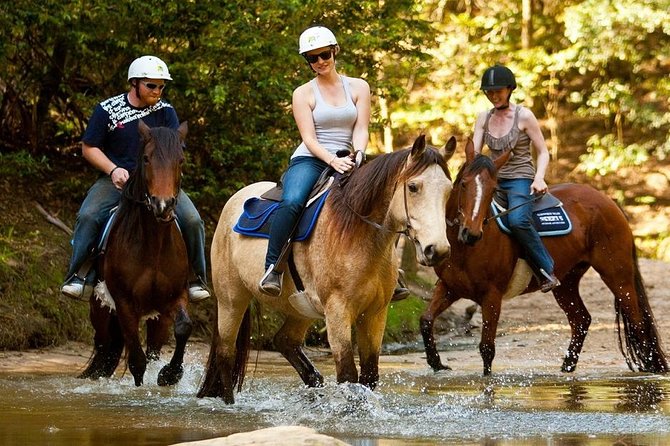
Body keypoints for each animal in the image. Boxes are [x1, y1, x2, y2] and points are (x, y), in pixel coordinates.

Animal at [80, 120, 194, 386]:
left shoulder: (174, 297)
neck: (153, 246)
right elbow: (137, 362)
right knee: (105, 347)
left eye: (181, 160)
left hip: (157, 318)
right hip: (101, 311)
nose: (163, 204)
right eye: (146, 158)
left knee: (150, 349)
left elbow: (184, 327)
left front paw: (170, 375)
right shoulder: (124, 305)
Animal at [197, 134, 454, 402]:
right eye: (413, 187)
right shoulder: (338, 311)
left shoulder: (375, 313)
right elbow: (348, 375)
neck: (358, 234)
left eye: (449, 190)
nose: (437, 250)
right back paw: (229, 402)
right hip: (231, 300)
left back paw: (314, 384)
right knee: (225, 353)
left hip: (300, 308)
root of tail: (233, 202)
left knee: (284, 341)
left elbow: (369, 375)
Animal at [422, 139, 668, 376]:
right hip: (566, 282)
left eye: (493, 189)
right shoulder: (449, 287)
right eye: (464, 183)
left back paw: (650, 367)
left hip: (617, 275)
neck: (465, 249)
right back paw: (567, 367)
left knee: (636, 320)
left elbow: (487, 347)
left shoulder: (492, 296)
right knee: (581, 320)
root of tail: (609, 202)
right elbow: (426, 321)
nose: (471, 233)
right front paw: (437, 364)